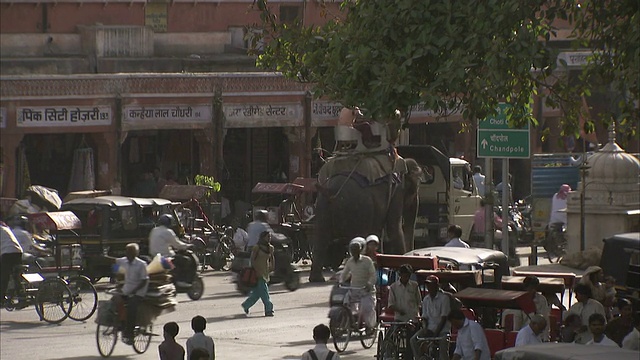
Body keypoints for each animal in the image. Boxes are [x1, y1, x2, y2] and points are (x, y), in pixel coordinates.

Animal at [308, 153, 422, 282]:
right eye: (416, 187)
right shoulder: (397, 191)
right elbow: (393, 226)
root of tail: (331, 191)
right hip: (360, 208)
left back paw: (317, 279)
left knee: (320, 237)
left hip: (322, 206)